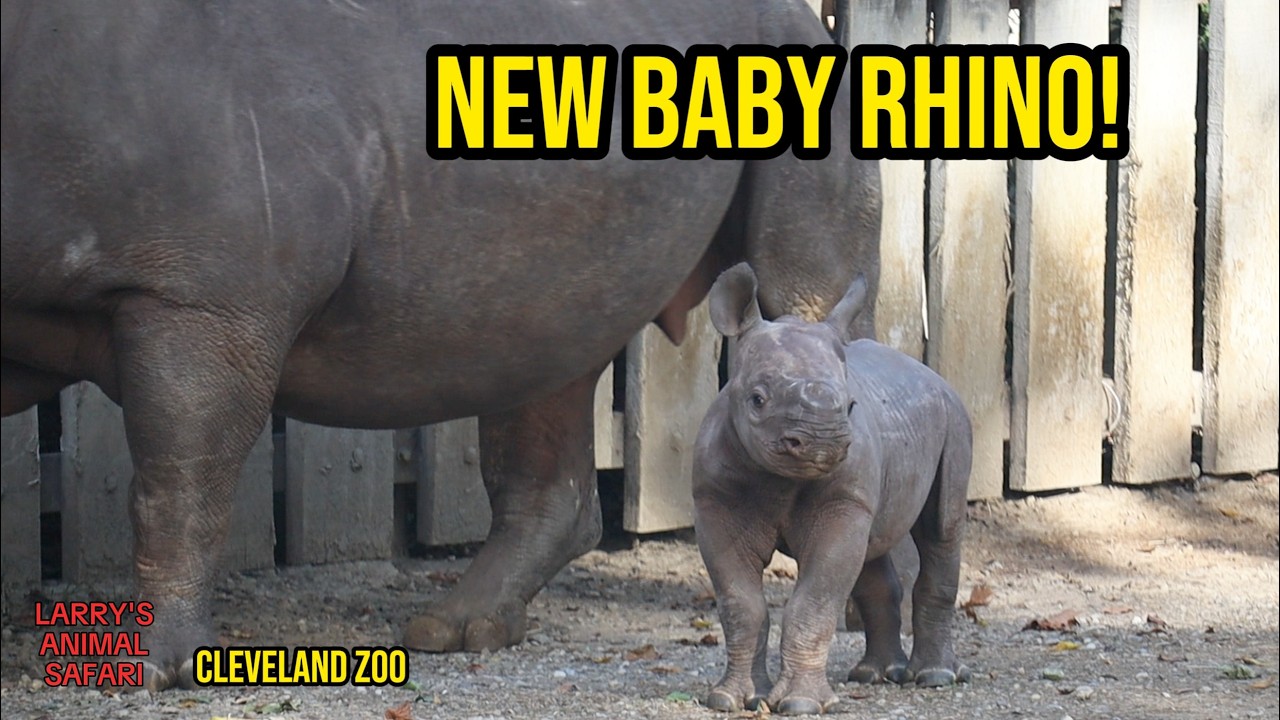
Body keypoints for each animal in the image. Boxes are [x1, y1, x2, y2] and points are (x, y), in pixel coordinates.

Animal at [0, 0, 880, 691]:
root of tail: (812, 17)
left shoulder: (199, 293)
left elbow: (178, 478)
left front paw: (151, 669)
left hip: (806, 83)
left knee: (806, 298)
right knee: (548, 350)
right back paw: (455, 633)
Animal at [693, 264, 971, 714]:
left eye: (851, 405)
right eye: (757, 399)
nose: (823, 439)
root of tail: (928, 371)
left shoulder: (841, 497)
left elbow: (816, 599)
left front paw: (801, 705)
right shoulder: (716, 501)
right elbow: (740, 603)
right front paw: (729, 699)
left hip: (953, 416)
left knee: (941, 529)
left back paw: (935, 677)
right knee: (873, 550)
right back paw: (875, 674)